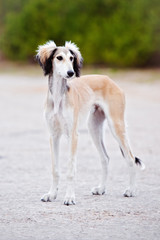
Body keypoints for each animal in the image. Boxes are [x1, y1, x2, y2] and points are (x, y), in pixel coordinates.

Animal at [36, 40, 145, 205]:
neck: (58, 97)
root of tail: (109, 80)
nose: (71, 73)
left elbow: (70, 170)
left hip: (116, 125)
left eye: (71, 58)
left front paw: (69, 197)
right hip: (94, 127)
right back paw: (101, 188)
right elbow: (55, 169)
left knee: (131, 158)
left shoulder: (72, 135)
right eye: (59, 57)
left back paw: (131, 190)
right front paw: (51, 194)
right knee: (105, 158)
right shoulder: (53, 135)